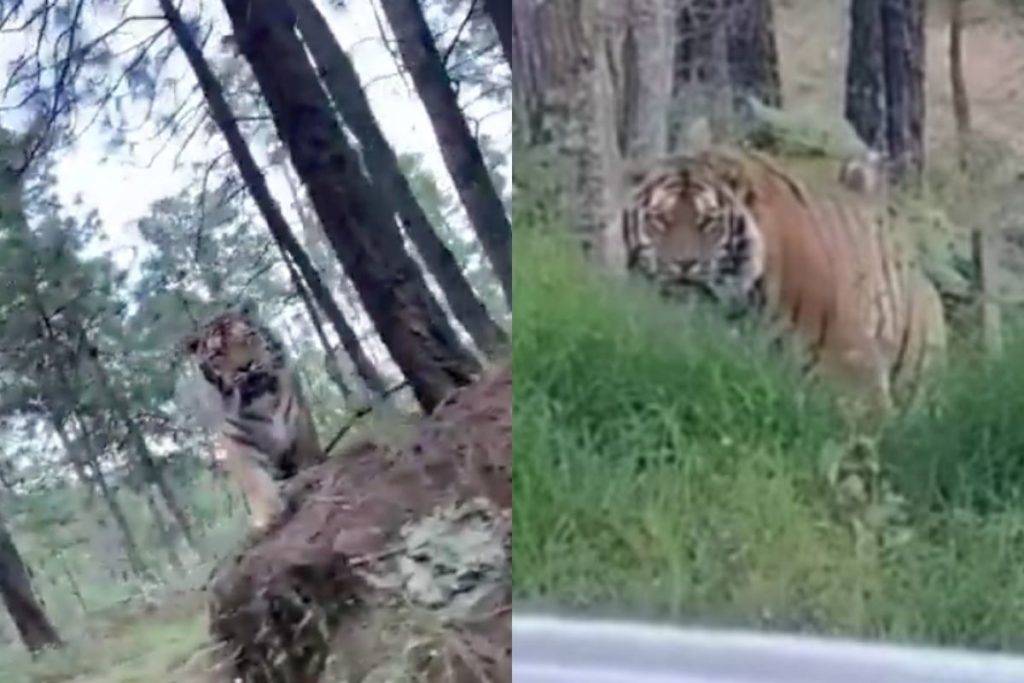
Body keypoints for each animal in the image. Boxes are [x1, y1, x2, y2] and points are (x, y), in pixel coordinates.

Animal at [182, 307, 325, 530]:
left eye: (248, 338)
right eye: (218, 353)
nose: (246, 366)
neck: (261, 401)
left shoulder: (298, 421)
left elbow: (307, 453)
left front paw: (311, 473)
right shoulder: (236, 442)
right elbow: (255, 481)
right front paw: (270, 514)